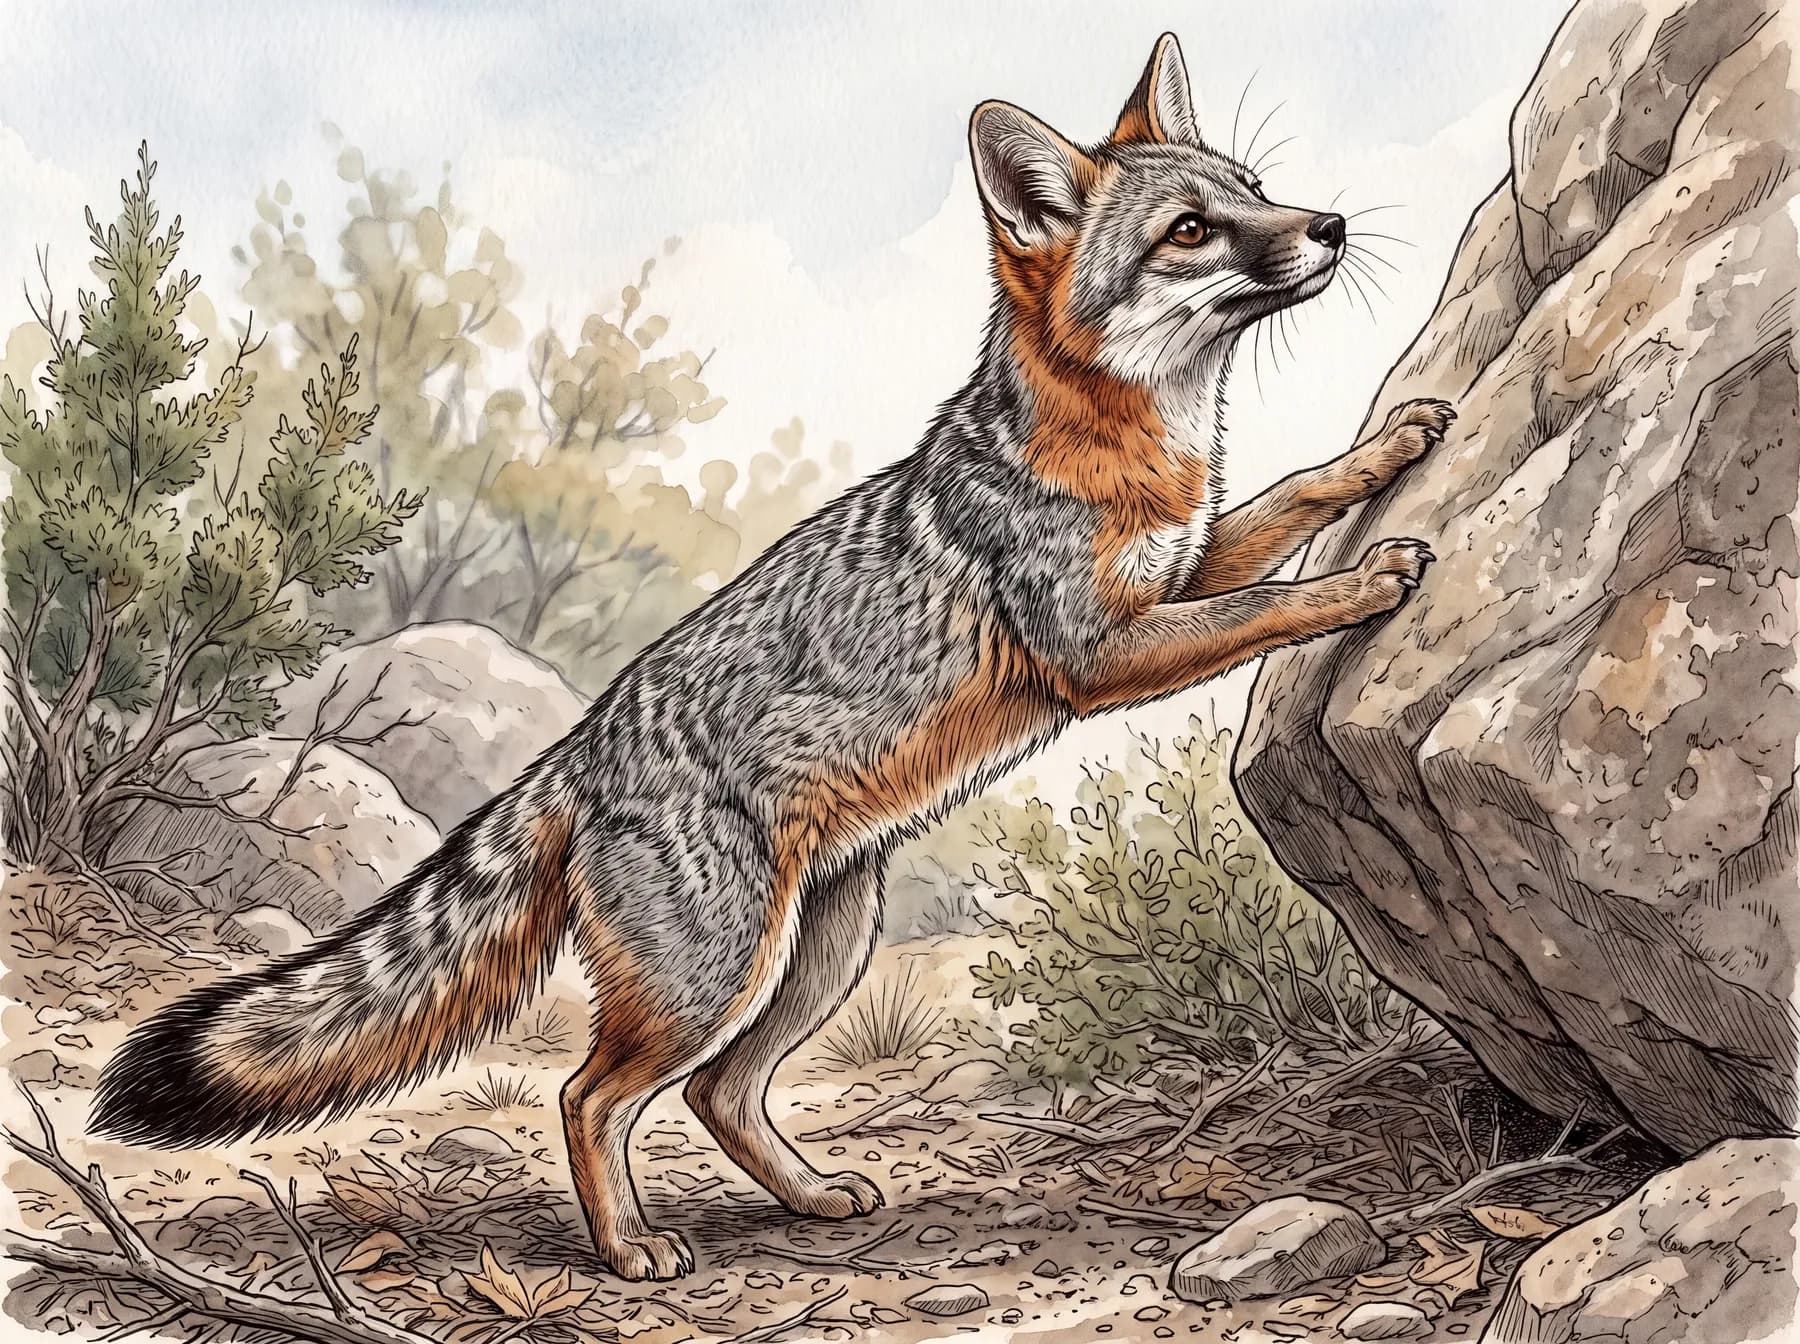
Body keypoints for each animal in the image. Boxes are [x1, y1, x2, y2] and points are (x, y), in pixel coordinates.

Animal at [93, 33, 1453, 1281]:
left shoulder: (1186, 560)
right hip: (714, 976)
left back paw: (804, 1200)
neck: (1124, 447)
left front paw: (1387, 447)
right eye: (1189, 230)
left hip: (818, 956)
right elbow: (1273, 601)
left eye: (1253, 188)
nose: (1330, 224)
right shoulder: (1102, 652)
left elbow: (1287, 498)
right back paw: (626, 1248)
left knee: (719, 1093)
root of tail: (578, 750)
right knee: (590, 1095)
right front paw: (1359, 582)